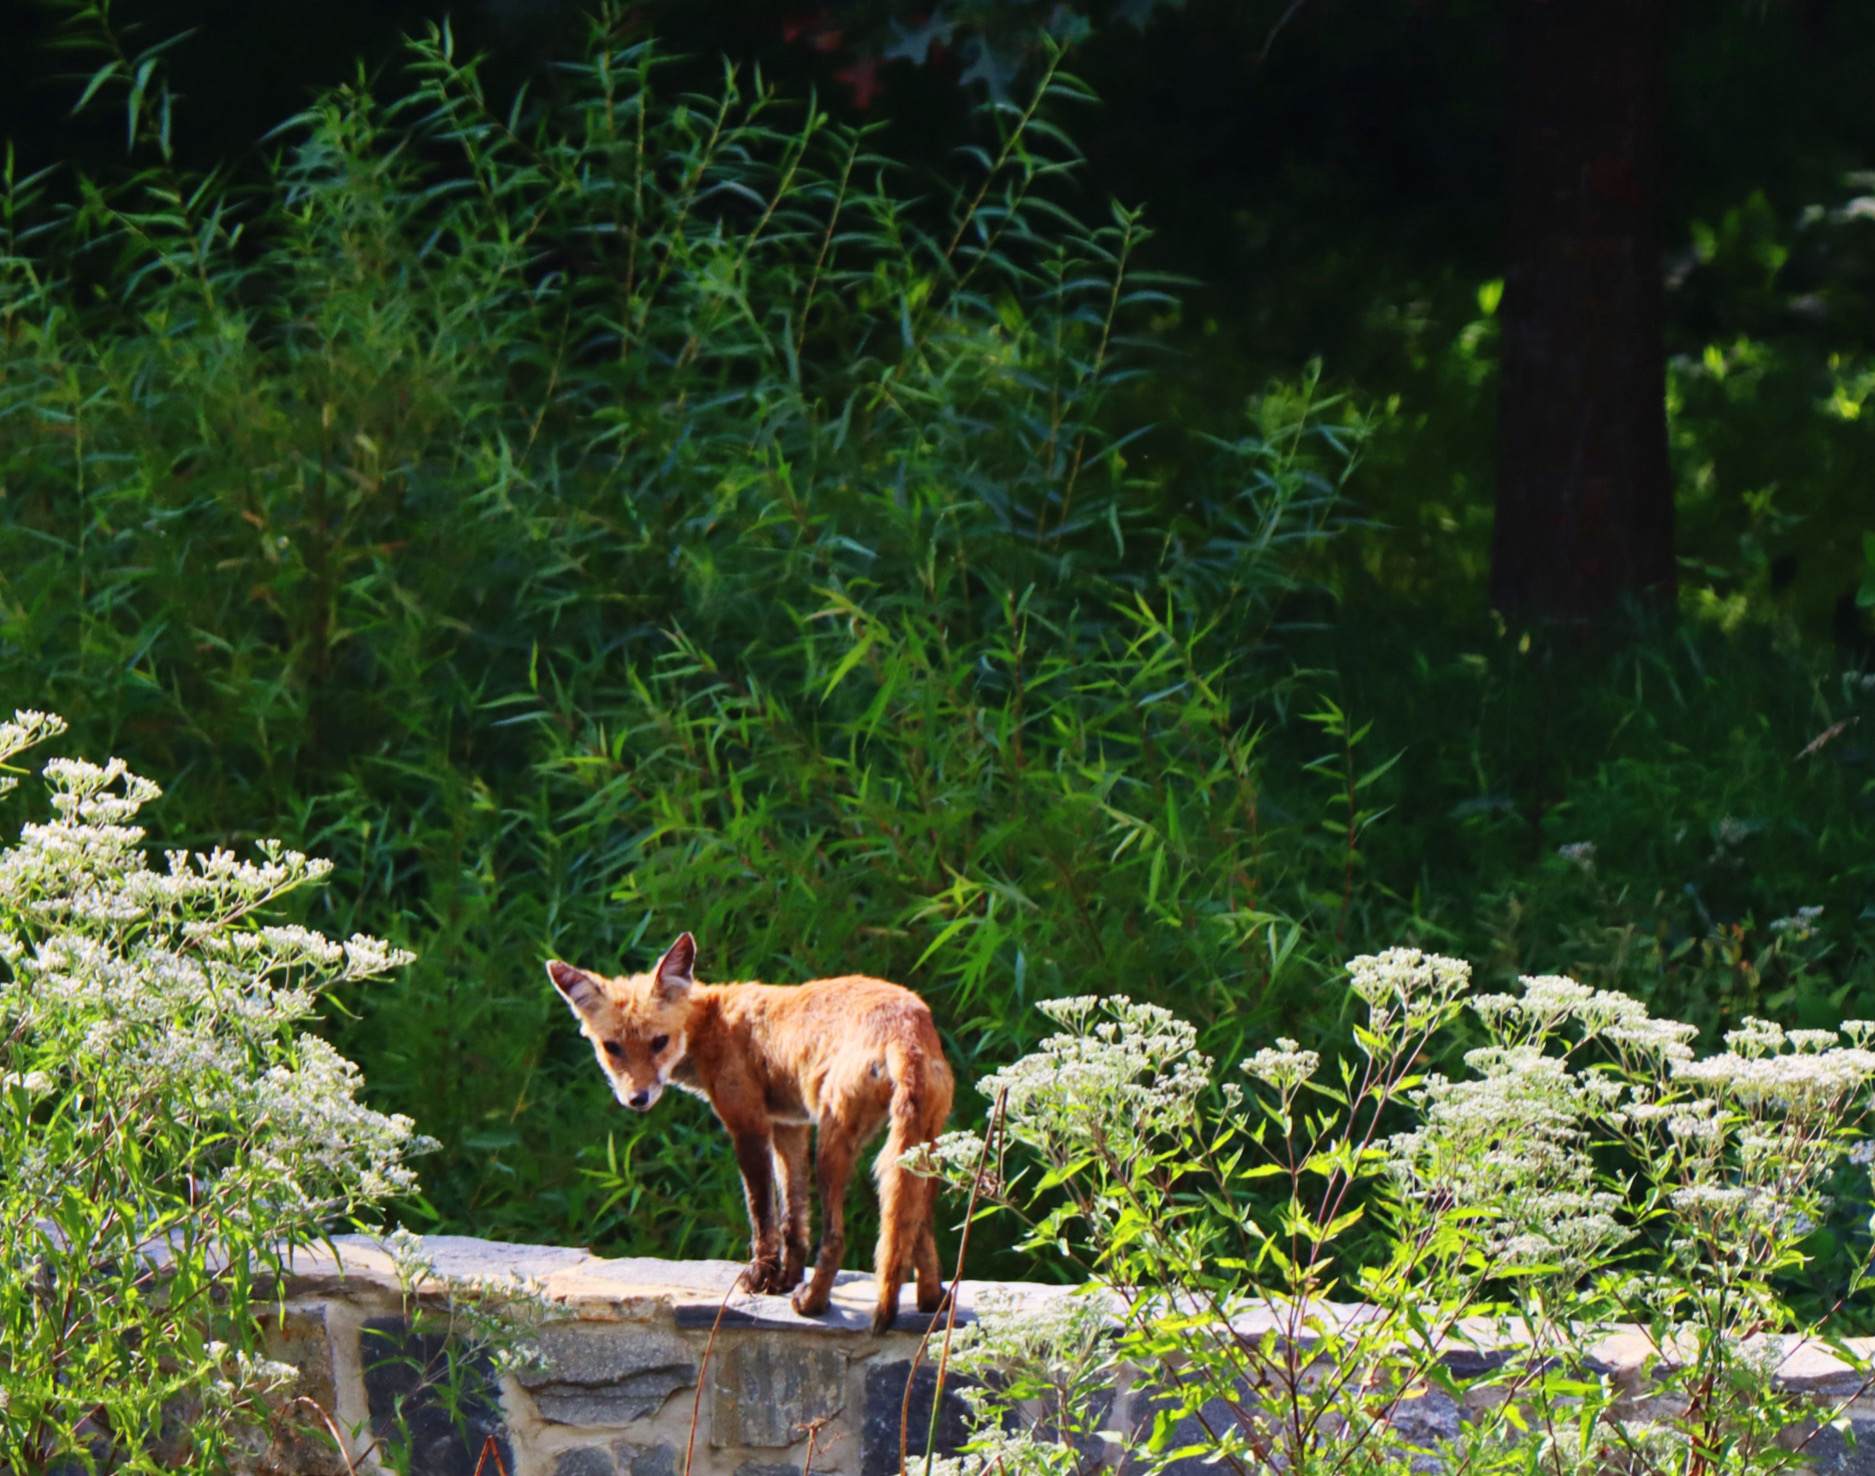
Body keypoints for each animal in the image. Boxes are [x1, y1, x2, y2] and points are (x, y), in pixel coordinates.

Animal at [545, 932, 955, 1334]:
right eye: (612, 1048)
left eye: (659, 1042)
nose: (637, 1099)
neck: (711, 1025)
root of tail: (907, 1030)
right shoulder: (788, 1125)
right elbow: (793, 1219)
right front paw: (785, 1279)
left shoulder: (748, 1126)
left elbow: (762, 1214)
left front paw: (761, 1276)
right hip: (920, 1149)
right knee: (917, 1230)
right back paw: (932, 1303)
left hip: (832, 1150)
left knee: (838, 1240)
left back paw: (814, 1303)